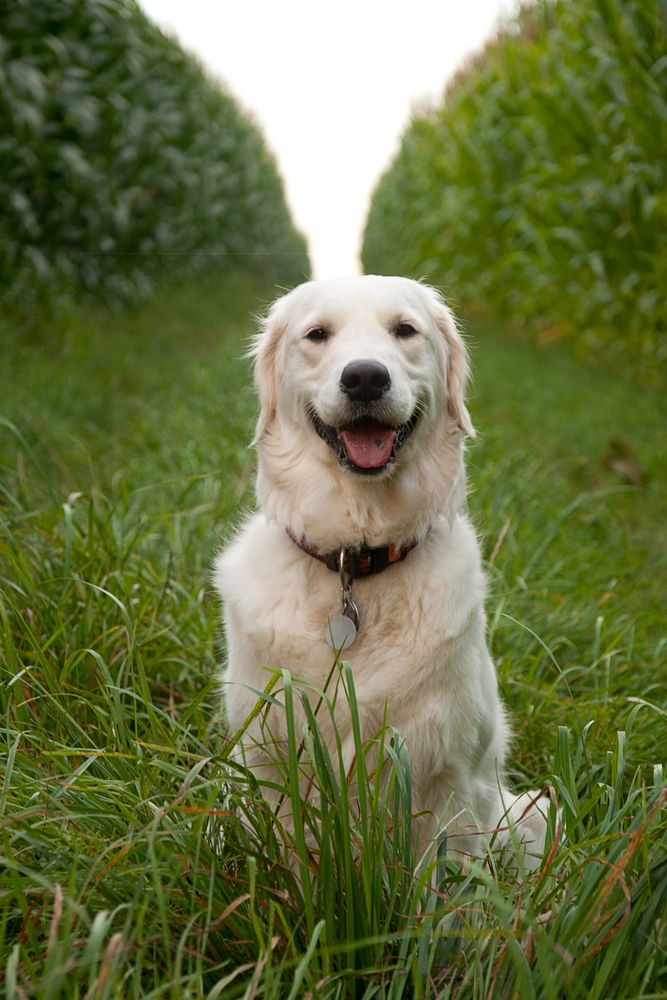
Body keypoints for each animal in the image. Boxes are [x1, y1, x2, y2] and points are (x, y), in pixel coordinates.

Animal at [214, 276, 548, 868]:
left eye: (405, 330)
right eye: (317, 334)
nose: (366, 376)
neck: (356, 560)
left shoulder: (446, 778)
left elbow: (436, 882)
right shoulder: (268, 763)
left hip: (529, 813)